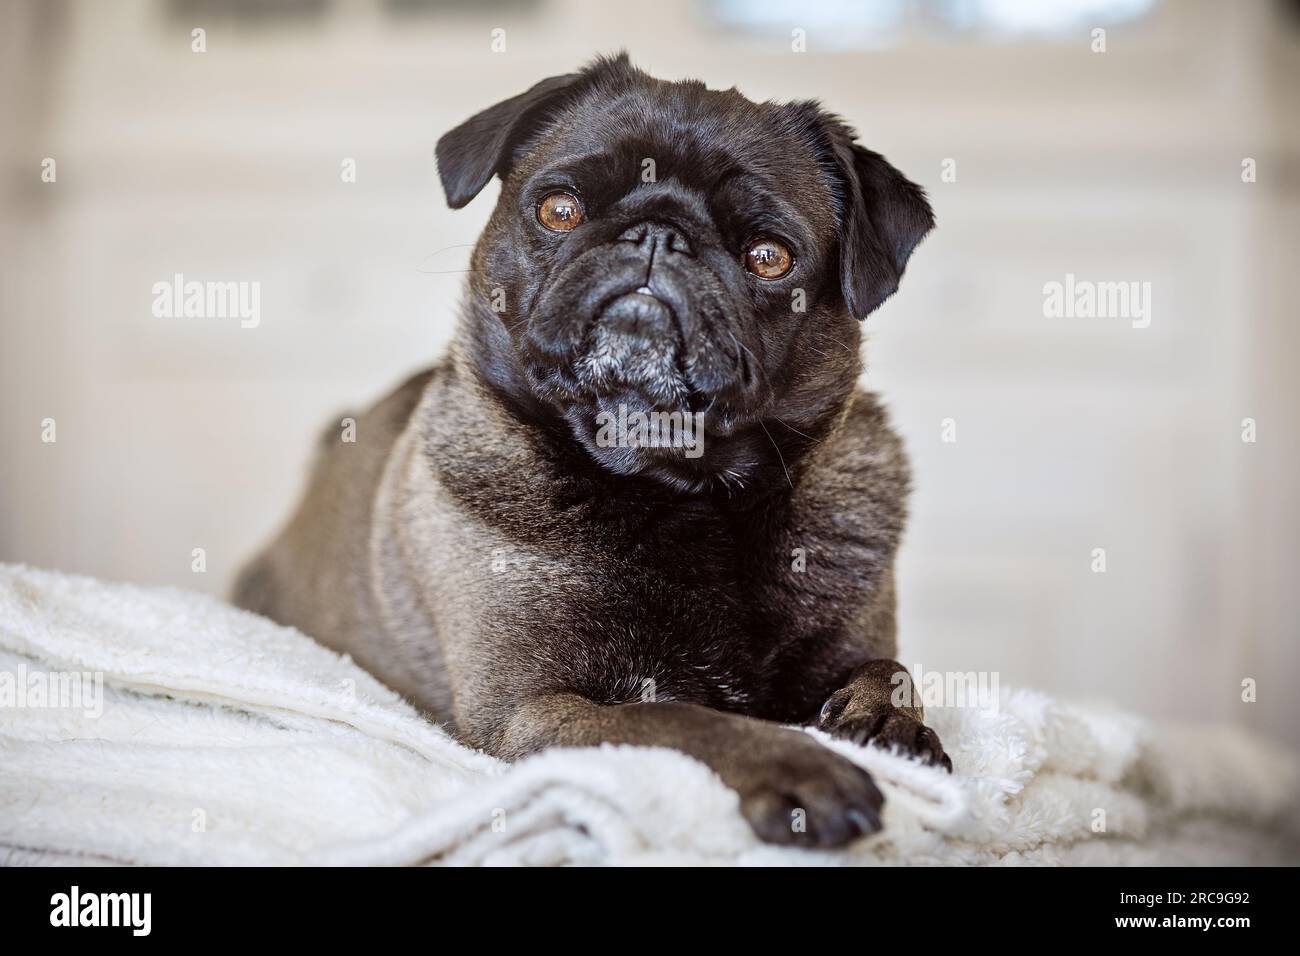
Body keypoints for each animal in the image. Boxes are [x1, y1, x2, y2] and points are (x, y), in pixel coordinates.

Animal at [233, 54, 946, 842]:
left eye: (768, 257)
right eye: (560, 210)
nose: (657, 235)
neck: (678, 490)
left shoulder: (851, 645)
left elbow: (891, 669)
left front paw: (888, 721)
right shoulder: (535, 711)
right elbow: (681, 719)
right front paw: (793, 764)